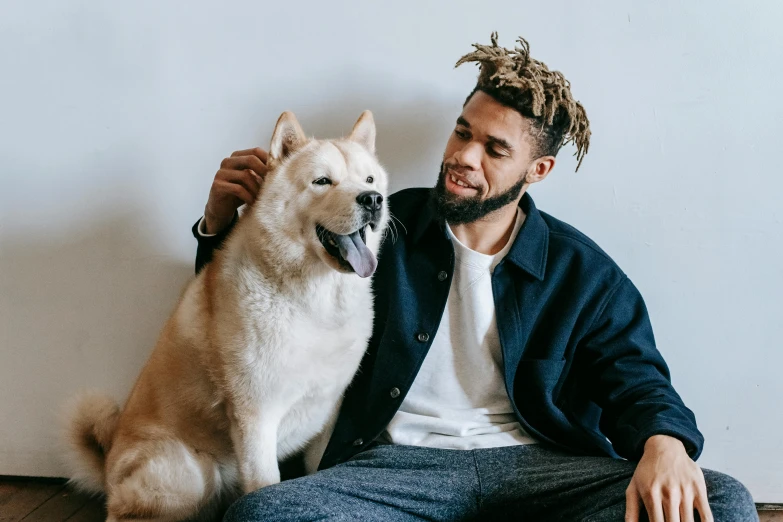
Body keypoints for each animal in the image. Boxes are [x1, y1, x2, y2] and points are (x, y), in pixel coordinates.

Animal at [62, 107, 390, 516]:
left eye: (369, 179)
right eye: (322, 181)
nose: (372, 199)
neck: (312, 299)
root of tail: (107, 467)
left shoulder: (328, 417)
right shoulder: (255, 418)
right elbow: (264, 485)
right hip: (187, 474)